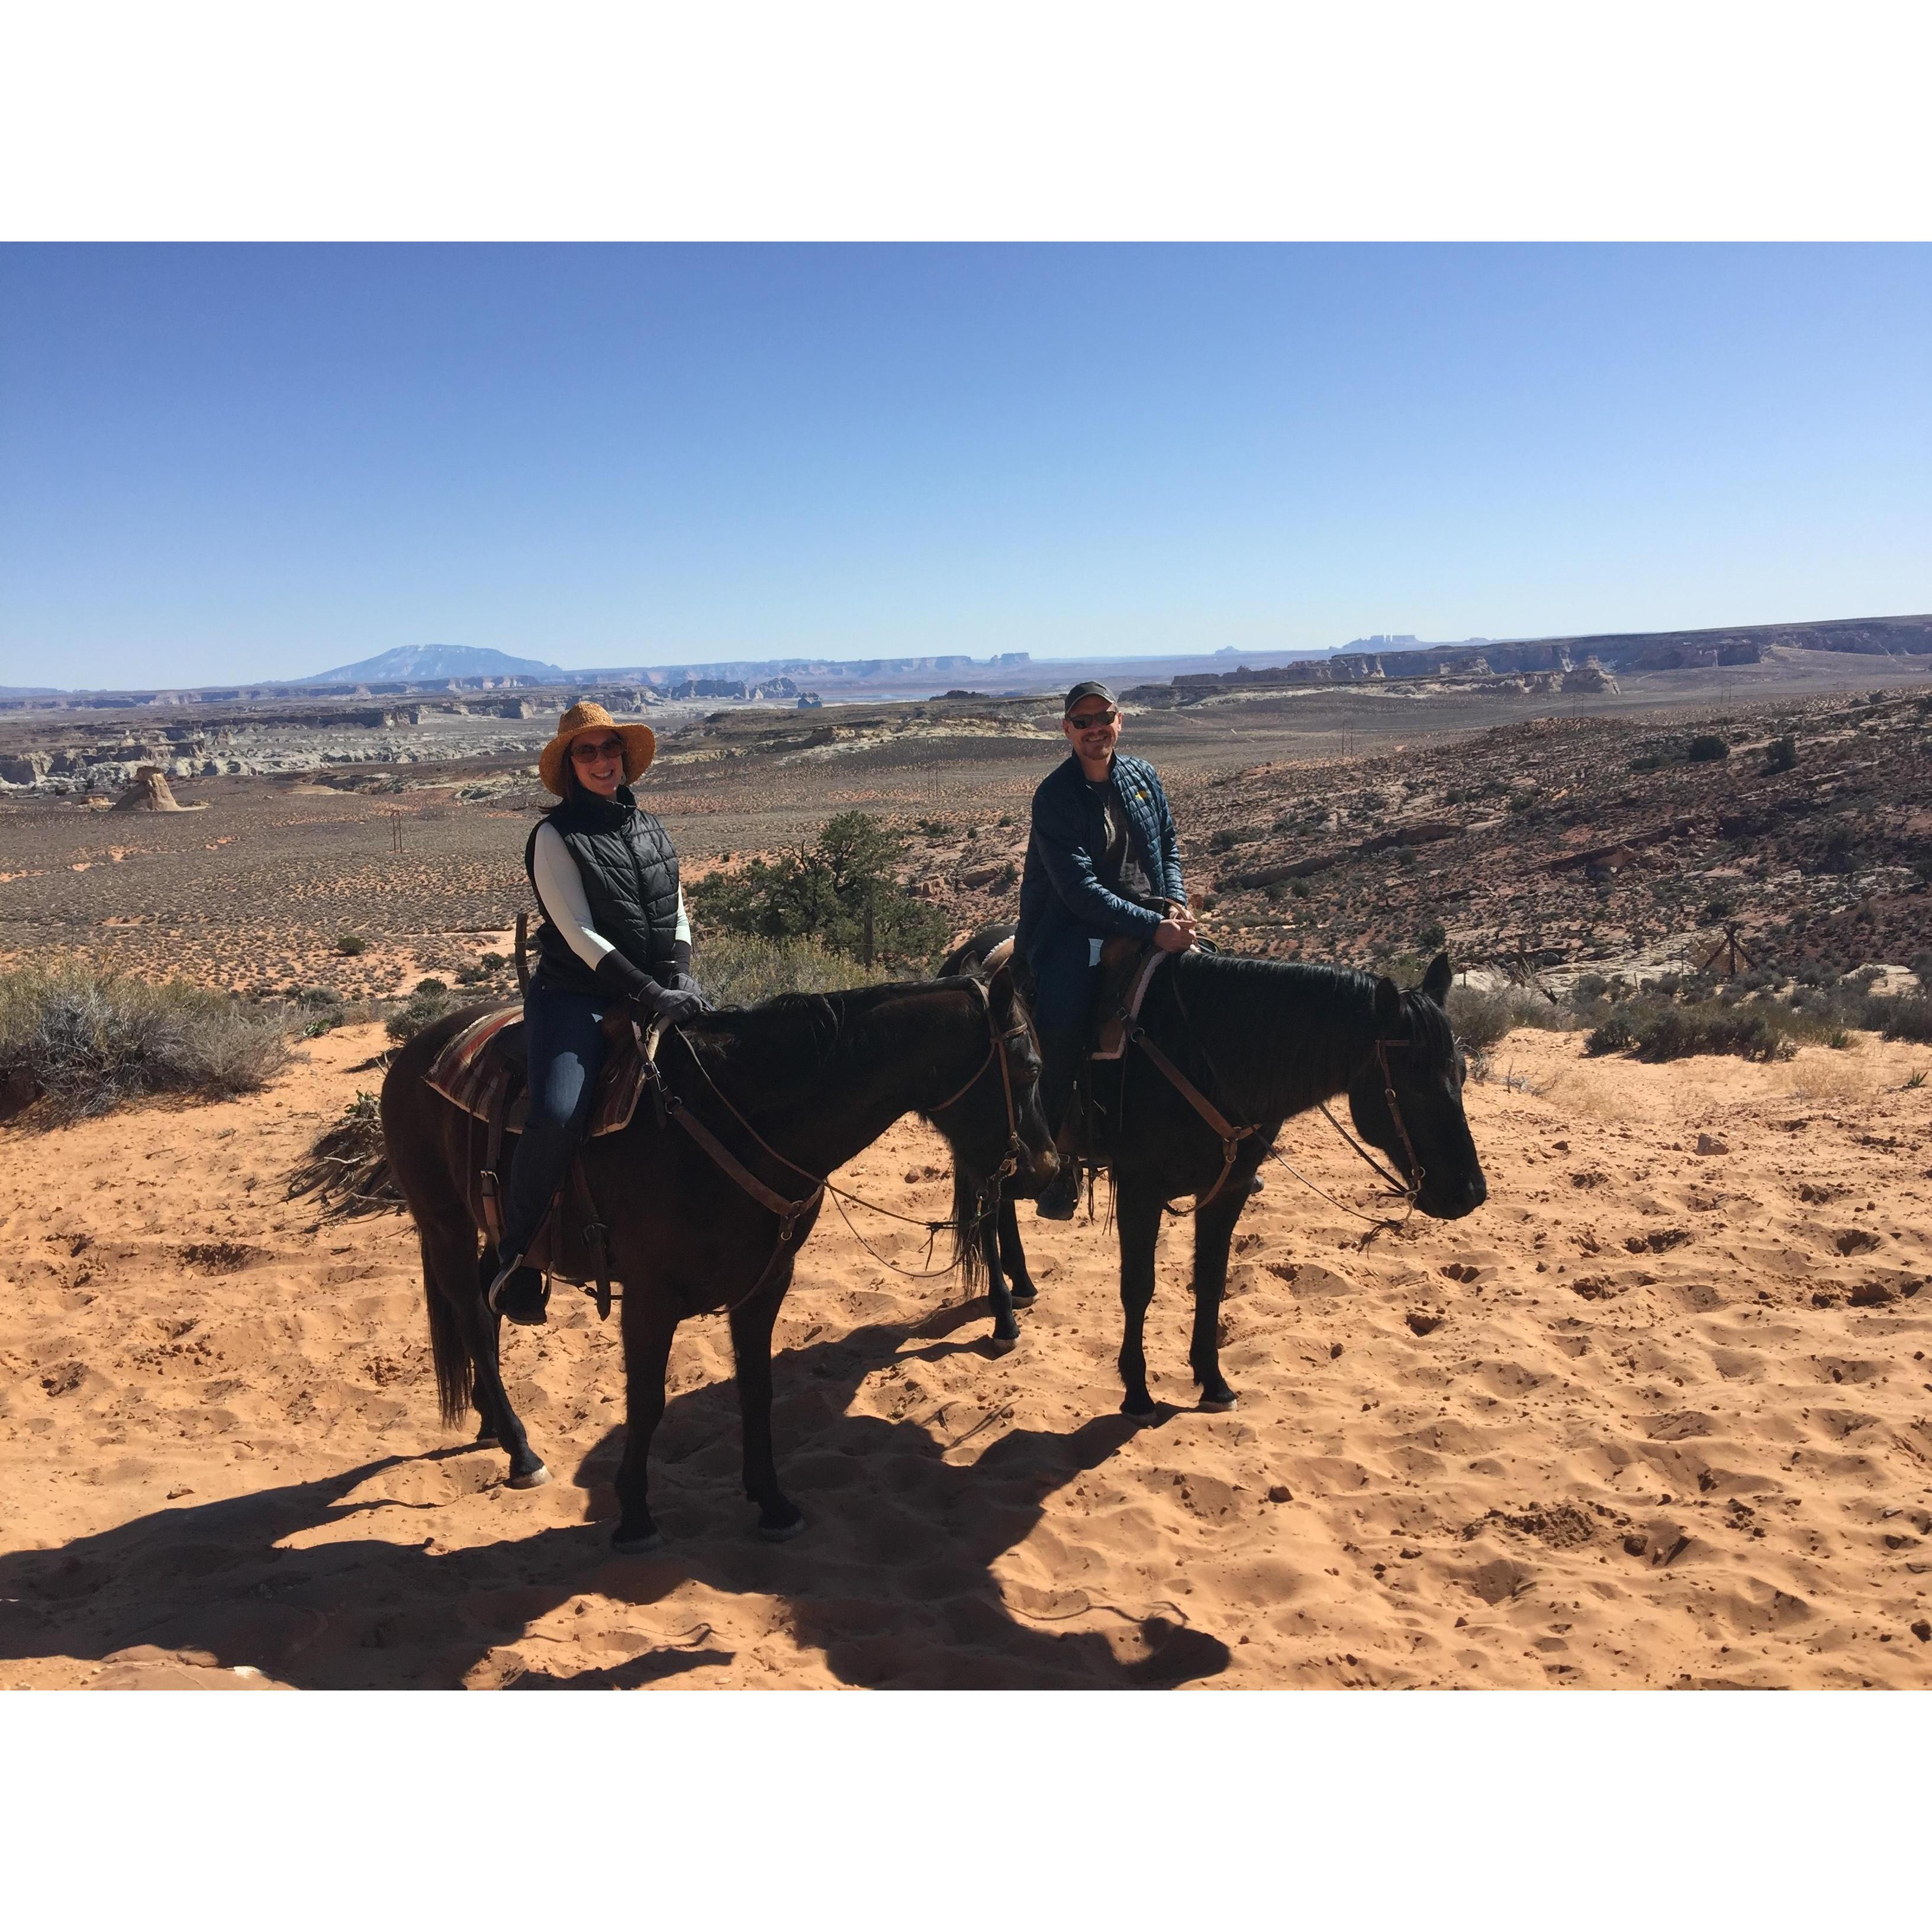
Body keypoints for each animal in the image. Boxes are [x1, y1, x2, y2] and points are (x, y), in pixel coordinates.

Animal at [378, 974, 1058, 1545]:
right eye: (1027, 1068)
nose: (1047, 1169)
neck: (737, 1120)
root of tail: (414, 1053)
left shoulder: (765, 1286)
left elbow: (756, 1390)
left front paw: (772, 1502)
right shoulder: (650, 1299)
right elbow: (646, 1401)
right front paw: (635, 1515)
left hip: (497, 1236)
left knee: (489, 1307)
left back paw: (492, 1423)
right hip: (444, 1224)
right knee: (472, 1316)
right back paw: (520, 1451)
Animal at [942, 931, 1483, 1422]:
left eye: (1460, 1072)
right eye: (1409, 1084)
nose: (1470, 1194)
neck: (1206, 1051)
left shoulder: (1230, 1189)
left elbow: (1211, 1279)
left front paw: (1213, 1382)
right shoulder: (1139, 1189)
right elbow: (1138, 1286)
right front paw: (1137, 1393)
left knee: (1003, 1209)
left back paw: (1023, 1284)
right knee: (988, 1214)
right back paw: (1004, 1316)